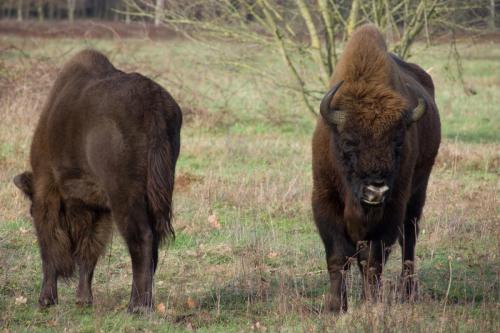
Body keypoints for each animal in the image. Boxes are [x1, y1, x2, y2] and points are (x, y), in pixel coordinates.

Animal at [14, 48, 184, 312]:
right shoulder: (97, 207)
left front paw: (46, 299)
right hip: (155, 191)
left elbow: (50, 243)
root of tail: (152, 103)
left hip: (125, 194)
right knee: (153, 241)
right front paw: (83, 299)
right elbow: (89, 250)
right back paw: (141, 302)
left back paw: (136, 306)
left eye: (31, 211)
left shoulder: (47, 189)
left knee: (142, 238)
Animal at [312, 24, 442, 312]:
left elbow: (373, 262)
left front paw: (370, 303)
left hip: (418, 194)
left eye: (398, 143)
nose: (375, 191)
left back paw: (408, 291)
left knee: (409, 241)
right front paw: (335, 306)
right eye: (348, 143)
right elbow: (338, 258)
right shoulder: (325, 200)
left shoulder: (392, 209)